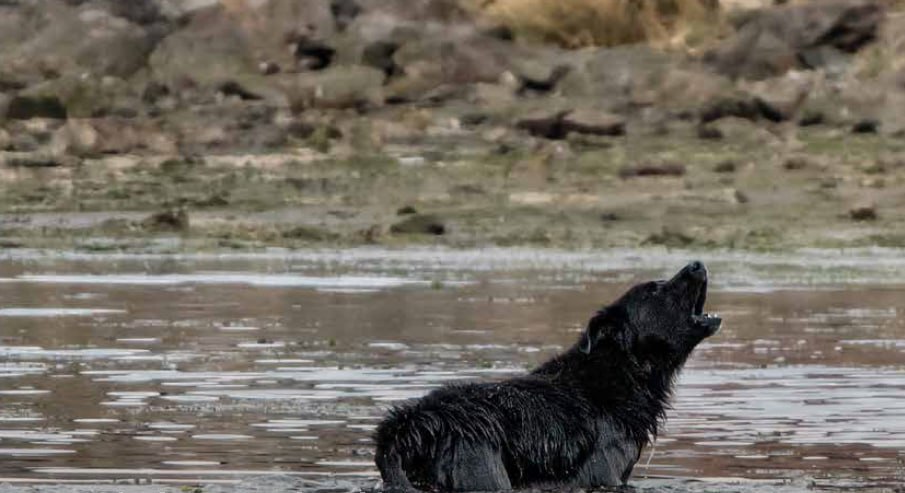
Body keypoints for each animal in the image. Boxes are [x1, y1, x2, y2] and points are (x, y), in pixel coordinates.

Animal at [374, 260, 720, 490]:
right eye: (655, 289)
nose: (697, 264)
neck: (623, 371)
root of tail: (412, 426)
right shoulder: (603, 475)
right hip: (481, 469)